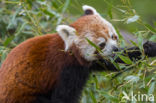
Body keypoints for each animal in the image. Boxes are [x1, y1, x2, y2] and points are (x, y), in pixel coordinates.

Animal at [0, 5, 156, 103]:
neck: (70, 52)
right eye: (101, 44)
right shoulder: (66, 70)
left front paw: (149, 48)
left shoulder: (89, 63)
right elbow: (62, 98)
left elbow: (117, 61)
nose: (115, 49)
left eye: (113, 36)